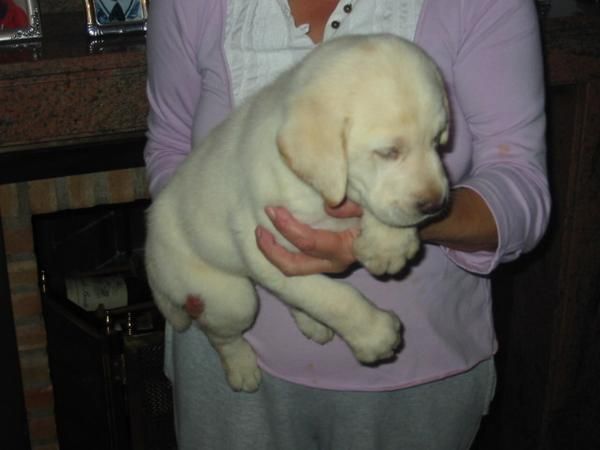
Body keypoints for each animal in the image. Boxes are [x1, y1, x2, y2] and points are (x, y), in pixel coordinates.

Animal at [145, 33, 448, 392]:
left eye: (437, 140)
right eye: (388, 152)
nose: (436, 204)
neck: (314, 190)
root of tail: (149, 248)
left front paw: (388, 245)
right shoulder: (261, 245)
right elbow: (331, 296)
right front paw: (374, 334)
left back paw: (311, 324)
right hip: (228, 298)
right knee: (223, 336)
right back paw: (241, 368)